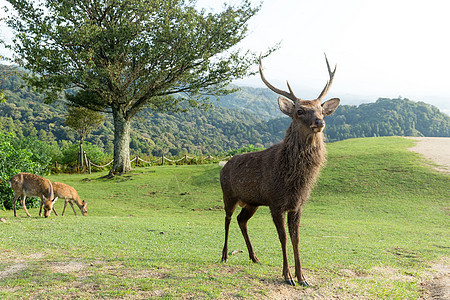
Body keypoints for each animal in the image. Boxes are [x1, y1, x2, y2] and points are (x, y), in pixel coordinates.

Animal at [220, 54, 340, 286]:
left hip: (252, 202)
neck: (293, 181)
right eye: (300, 111)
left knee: (241, 220)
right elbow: (283, 237)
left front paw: (303, 277)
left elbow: (296, 238)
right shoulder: (275, 202)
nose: (320, 122)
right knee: (228, 219)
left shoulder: (297, 205)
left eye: (321, 110)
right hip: (228, 194)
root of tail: (224, 165)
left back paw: (254, 257)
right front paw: (287, 276)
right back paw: (224, 255)